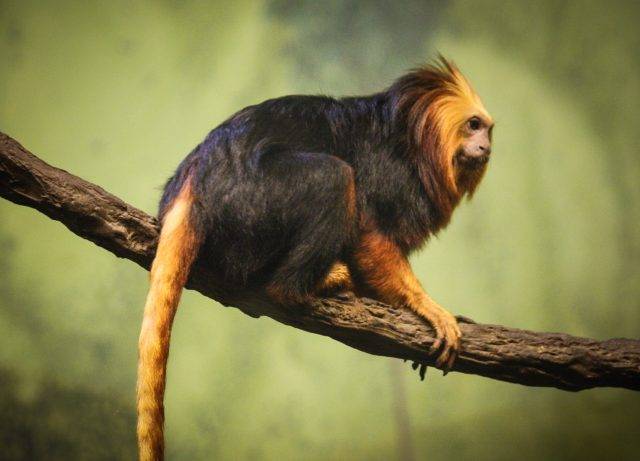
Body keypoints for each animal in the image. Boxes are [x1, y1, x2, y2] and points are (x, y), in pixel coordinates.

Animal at [137, 56, 493, 460]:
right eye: (473, 125)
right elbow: (371, 238)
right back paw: (309, 285)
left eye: (487, 130)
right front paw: (427, 308)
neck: (414, 145)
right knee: (333, 177)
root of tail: (195, 181)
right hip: (252, 204)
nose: (485, 146)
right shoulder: (389, 176)